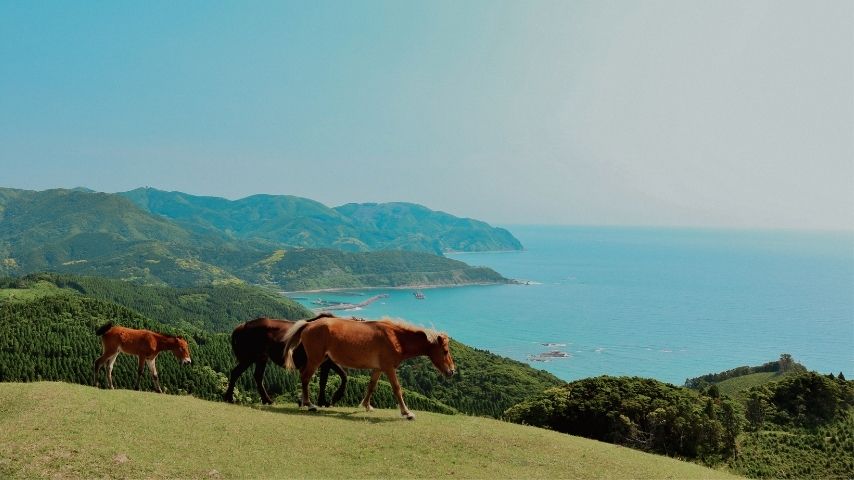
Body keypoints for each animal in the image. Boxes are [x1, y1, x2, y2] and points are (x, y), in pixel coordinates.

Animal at [283, 315, 456, 420]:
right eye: (445, 351)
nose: (452, 371)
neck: (396, 338)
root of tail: (308, 324)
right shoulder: (389, 368)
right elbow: (397, 389)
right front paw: (406, 412)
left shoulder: (378, 369)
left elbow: (371, 386)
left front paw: (366, 405)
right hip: (315, 359)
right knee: (305, 377)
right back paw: (309, 404)